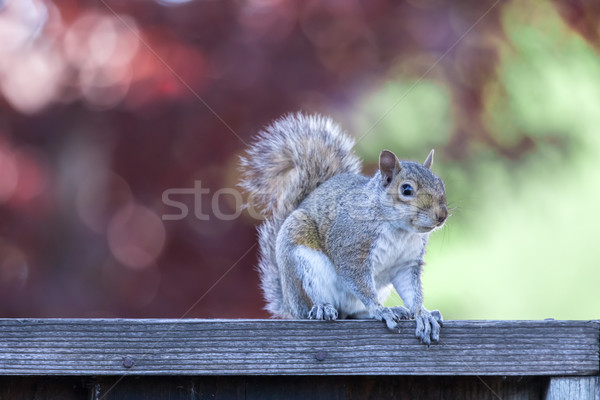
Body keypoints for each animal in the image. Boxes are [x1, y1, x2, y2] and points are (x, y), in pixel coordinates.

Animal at [241, 111, 448, 344]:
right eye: (406, 189)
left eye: (440, 184)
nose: (442, 216)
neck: (399, 230)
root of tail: (288, 302)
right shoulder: (351, 246)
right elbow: (358, 281)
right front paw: (379, 310)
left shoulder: (406, 263)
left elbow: (412, 291)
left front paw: (423, 314)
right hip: (304, 263)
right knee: (312, 305)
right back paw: (322, 308)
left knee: (352, 312)